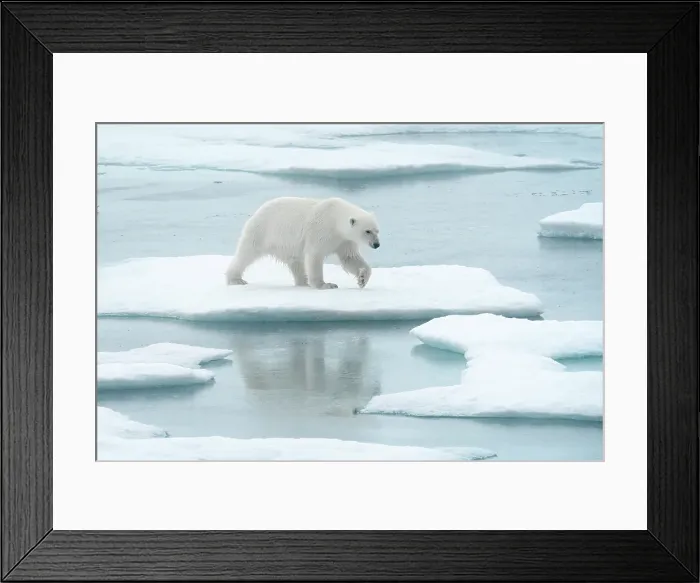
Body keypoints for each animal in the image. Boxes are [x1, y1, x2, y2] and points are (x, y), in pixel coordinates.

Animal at [225, 197, 380, 290]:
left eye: (377, 230)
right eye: (367, 231)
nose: (377, 245)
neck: (335, 218)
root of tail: (258, 211)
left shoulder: (344, 240)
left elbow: (349, 258)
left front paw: (362, 279)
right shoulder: (321, 231)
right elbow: (314, 255)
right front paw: (325, 284)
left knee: (296, 262)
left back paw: (303, 282)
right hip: (262, 231)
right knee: (246, 254)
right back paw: (235, 279)